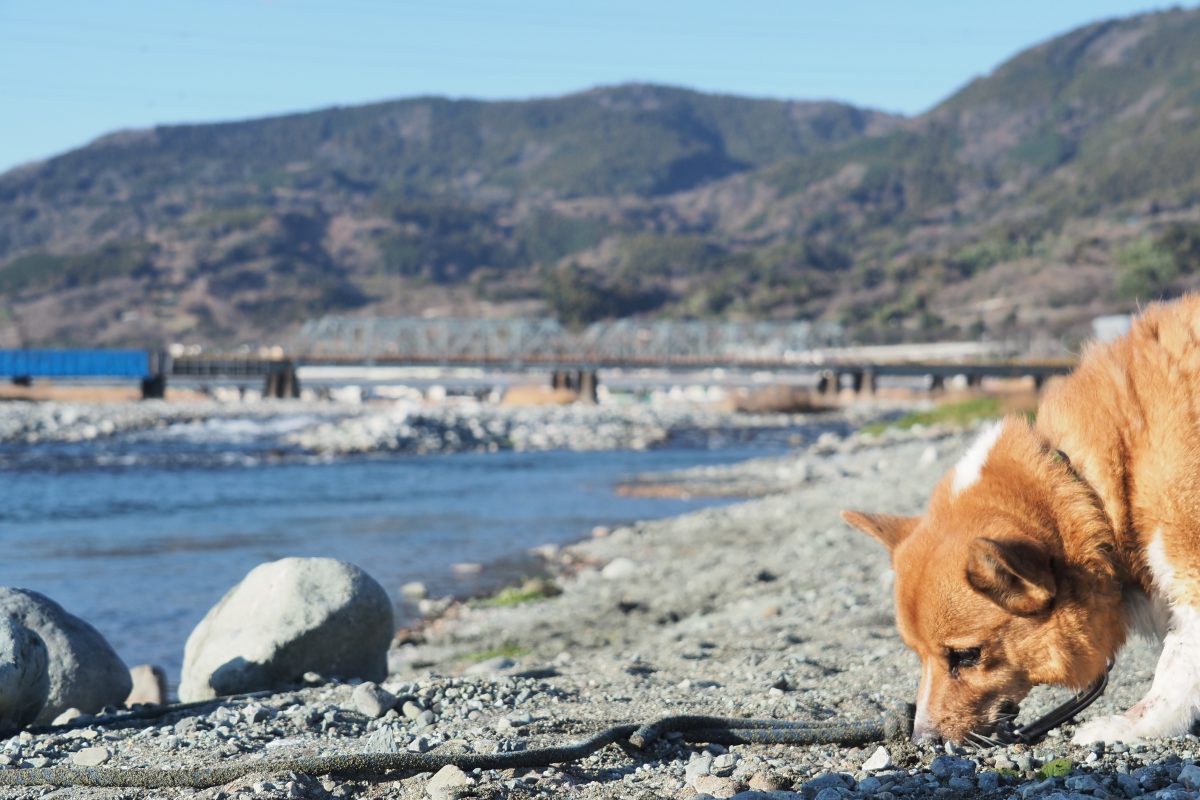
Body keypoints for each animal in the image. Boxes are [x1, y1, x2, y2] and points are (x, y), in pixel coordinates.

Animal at [844, 297, 1200, 748]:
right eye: (917, 654)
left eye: (967, 656)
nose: (923, 741)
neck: (1091, 487)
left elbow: (1176, 662)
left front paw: (1134, 725)